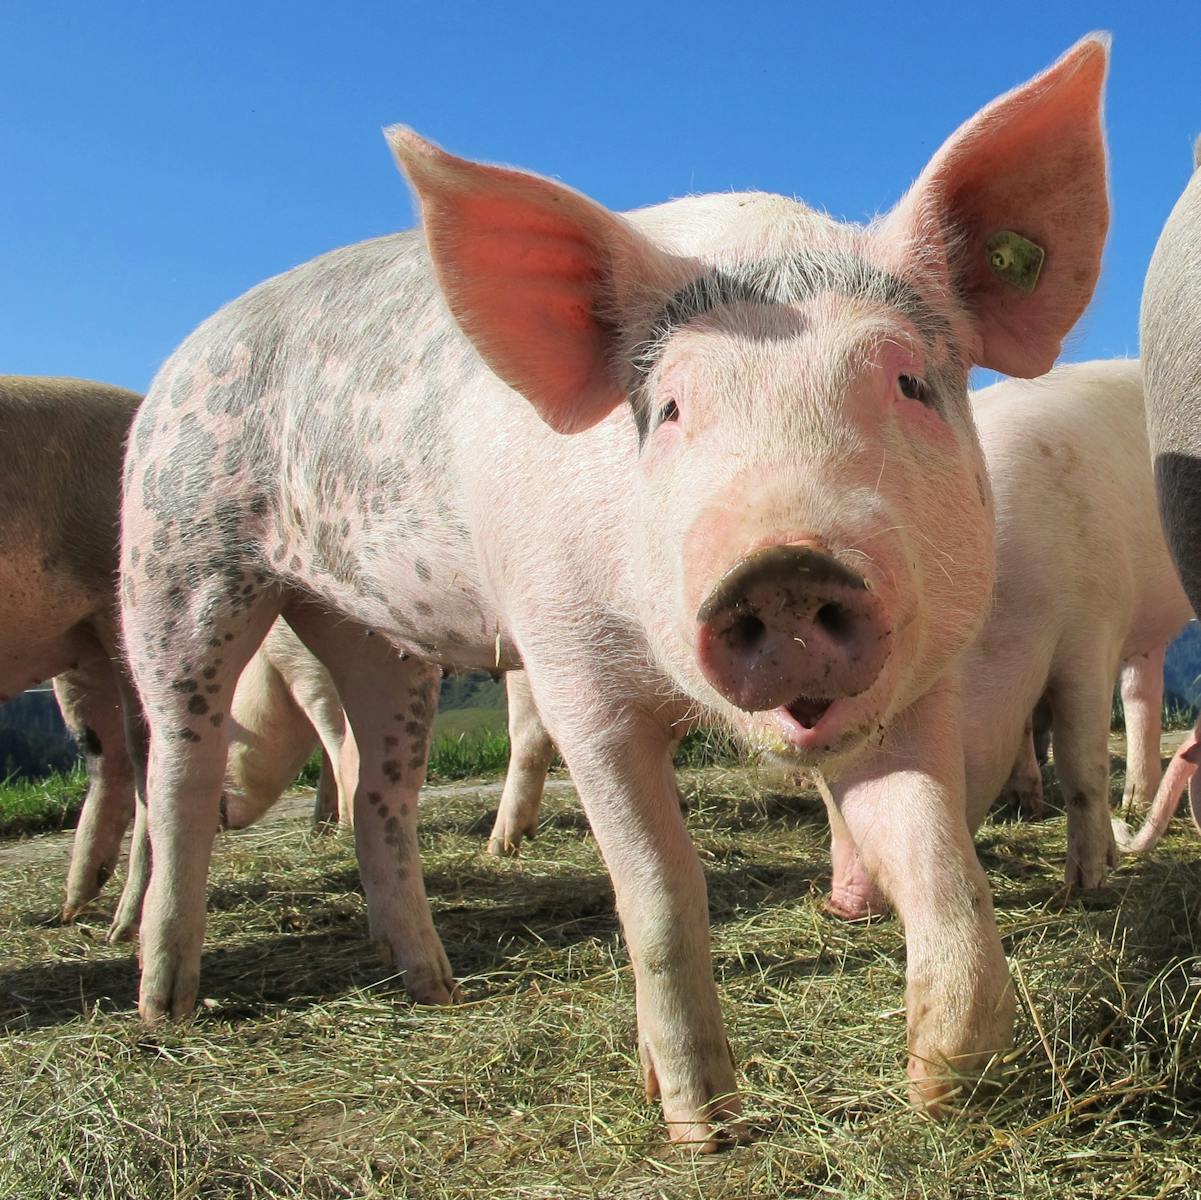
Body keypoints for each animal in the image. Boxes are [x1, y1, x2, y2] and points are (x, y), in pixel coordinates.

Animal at [119, 35, 1104, 1143]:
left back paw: (434, 988)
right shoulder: (569, 671)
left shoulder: (920, 679)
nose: (786, 566)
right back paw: (166, 1006)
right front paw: (704, 1127)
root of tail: (181, 357)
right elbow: (662, 895)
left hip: (374, 634)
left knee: (379, 791)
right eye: (668, 407)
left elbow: (938, 863)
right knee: (182, 773)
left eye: (905, 382)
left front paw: (946, 1093)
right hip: (176, 554)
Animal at [826, 355, 1191, 917]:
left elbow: (1080, 760)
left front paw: (1086, 884)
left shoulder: (1092, 631)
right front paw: (1026, 803)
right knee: (1141, 692)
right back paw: (1134, 803)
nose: (839, 902)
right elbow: (1022, 733)